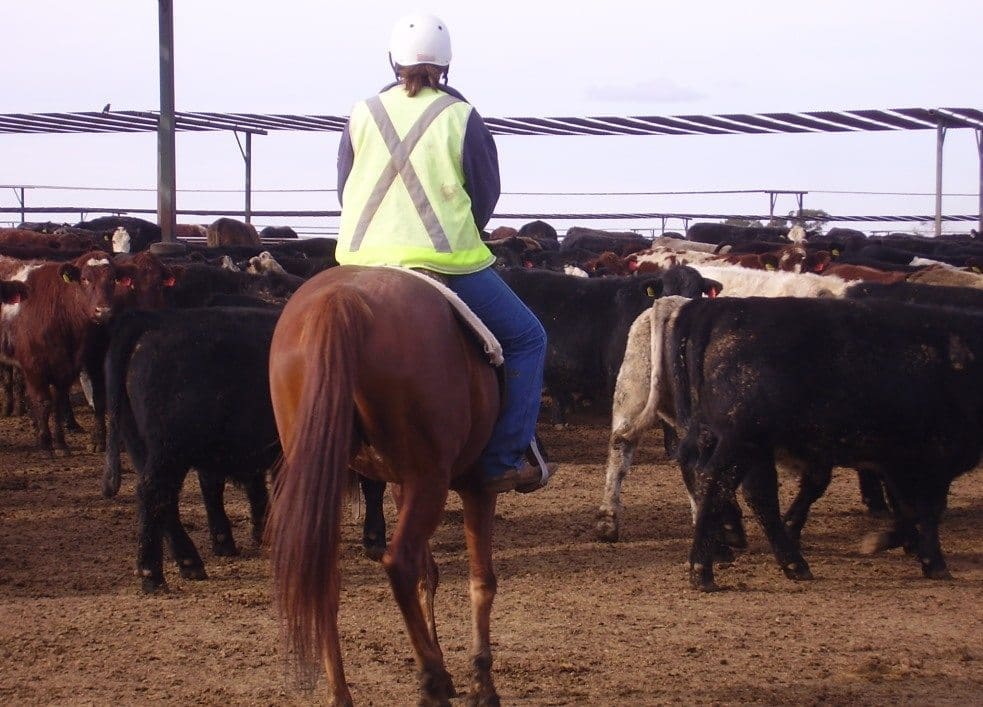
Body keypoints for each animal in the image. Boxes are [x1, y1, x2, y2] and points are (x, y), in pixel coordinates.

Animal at [268, 266, 504, 707]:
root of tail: (341, 301)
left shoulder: (401, 484)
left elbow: (431, 574)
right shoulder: (476, 486)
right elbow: (481, 581)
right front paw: (480, 684)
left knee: (326, 578)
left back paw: (342, 693)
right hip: (431, 479)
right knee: (400, 563)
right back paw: (430, 682)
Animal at [656, 296, 983, 588]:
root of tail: (720, 306)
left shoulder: (897, 460)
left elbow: (908, 508)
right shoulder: (934, 458)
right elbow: (927, 509)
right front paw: (930, 560)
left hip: (734, 440)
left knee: (742, 490)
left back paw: (784, 561)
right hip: (740, 439)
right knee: (717, 484)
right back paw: (703, 571)